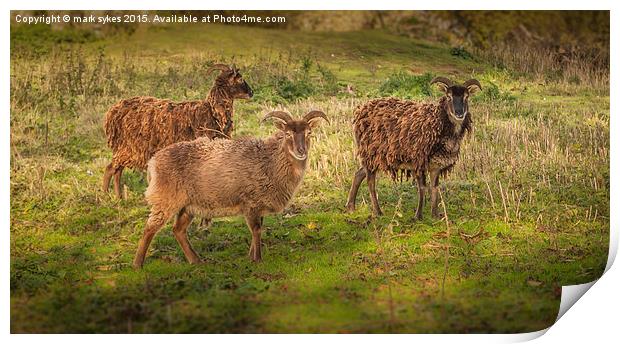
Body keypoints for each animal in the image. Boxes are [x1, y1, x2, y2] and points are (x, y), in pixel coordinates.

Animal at [101, 65, 252, 199]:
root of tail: (113, 112)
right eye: (240, 79)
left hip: (124, 149)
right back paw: (106, 195)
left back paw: (119, 197)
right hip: (127, 148)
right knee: (110, 169)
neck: (212, 111)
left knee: (117, 171)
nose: (251, 92)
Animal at [133, 109, 330, 268]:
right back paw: (138, 264)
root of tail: (153, 163)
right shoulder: (251, 201)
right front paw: (258, 259)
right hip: (165, 199)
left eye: (309, 132)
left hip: (188, 204)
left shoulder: (258, 204)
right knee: (150, 229)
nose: (301, 151)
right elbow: (256, 230)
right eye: (287, 134)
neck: (271, 160)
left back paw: (195, 260)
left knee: (178, 230)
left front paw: (251, 256)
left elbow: (257, 229)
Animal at [346, 77, 482, 219]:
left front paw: (435, 215)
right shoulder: (419, 160)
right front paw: (418, 216)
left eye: (466, 97)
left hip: (376, 157)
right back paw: (377, 212)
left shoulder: (436, 165)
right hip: (370, 153)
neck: (438, 122)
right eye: (448, 96)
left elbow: (434, 188)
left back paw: (351, 207)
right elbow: (422, 188)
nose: (459, 113)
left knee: (359, 174)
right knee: (370, 181)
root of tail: (361, 110)